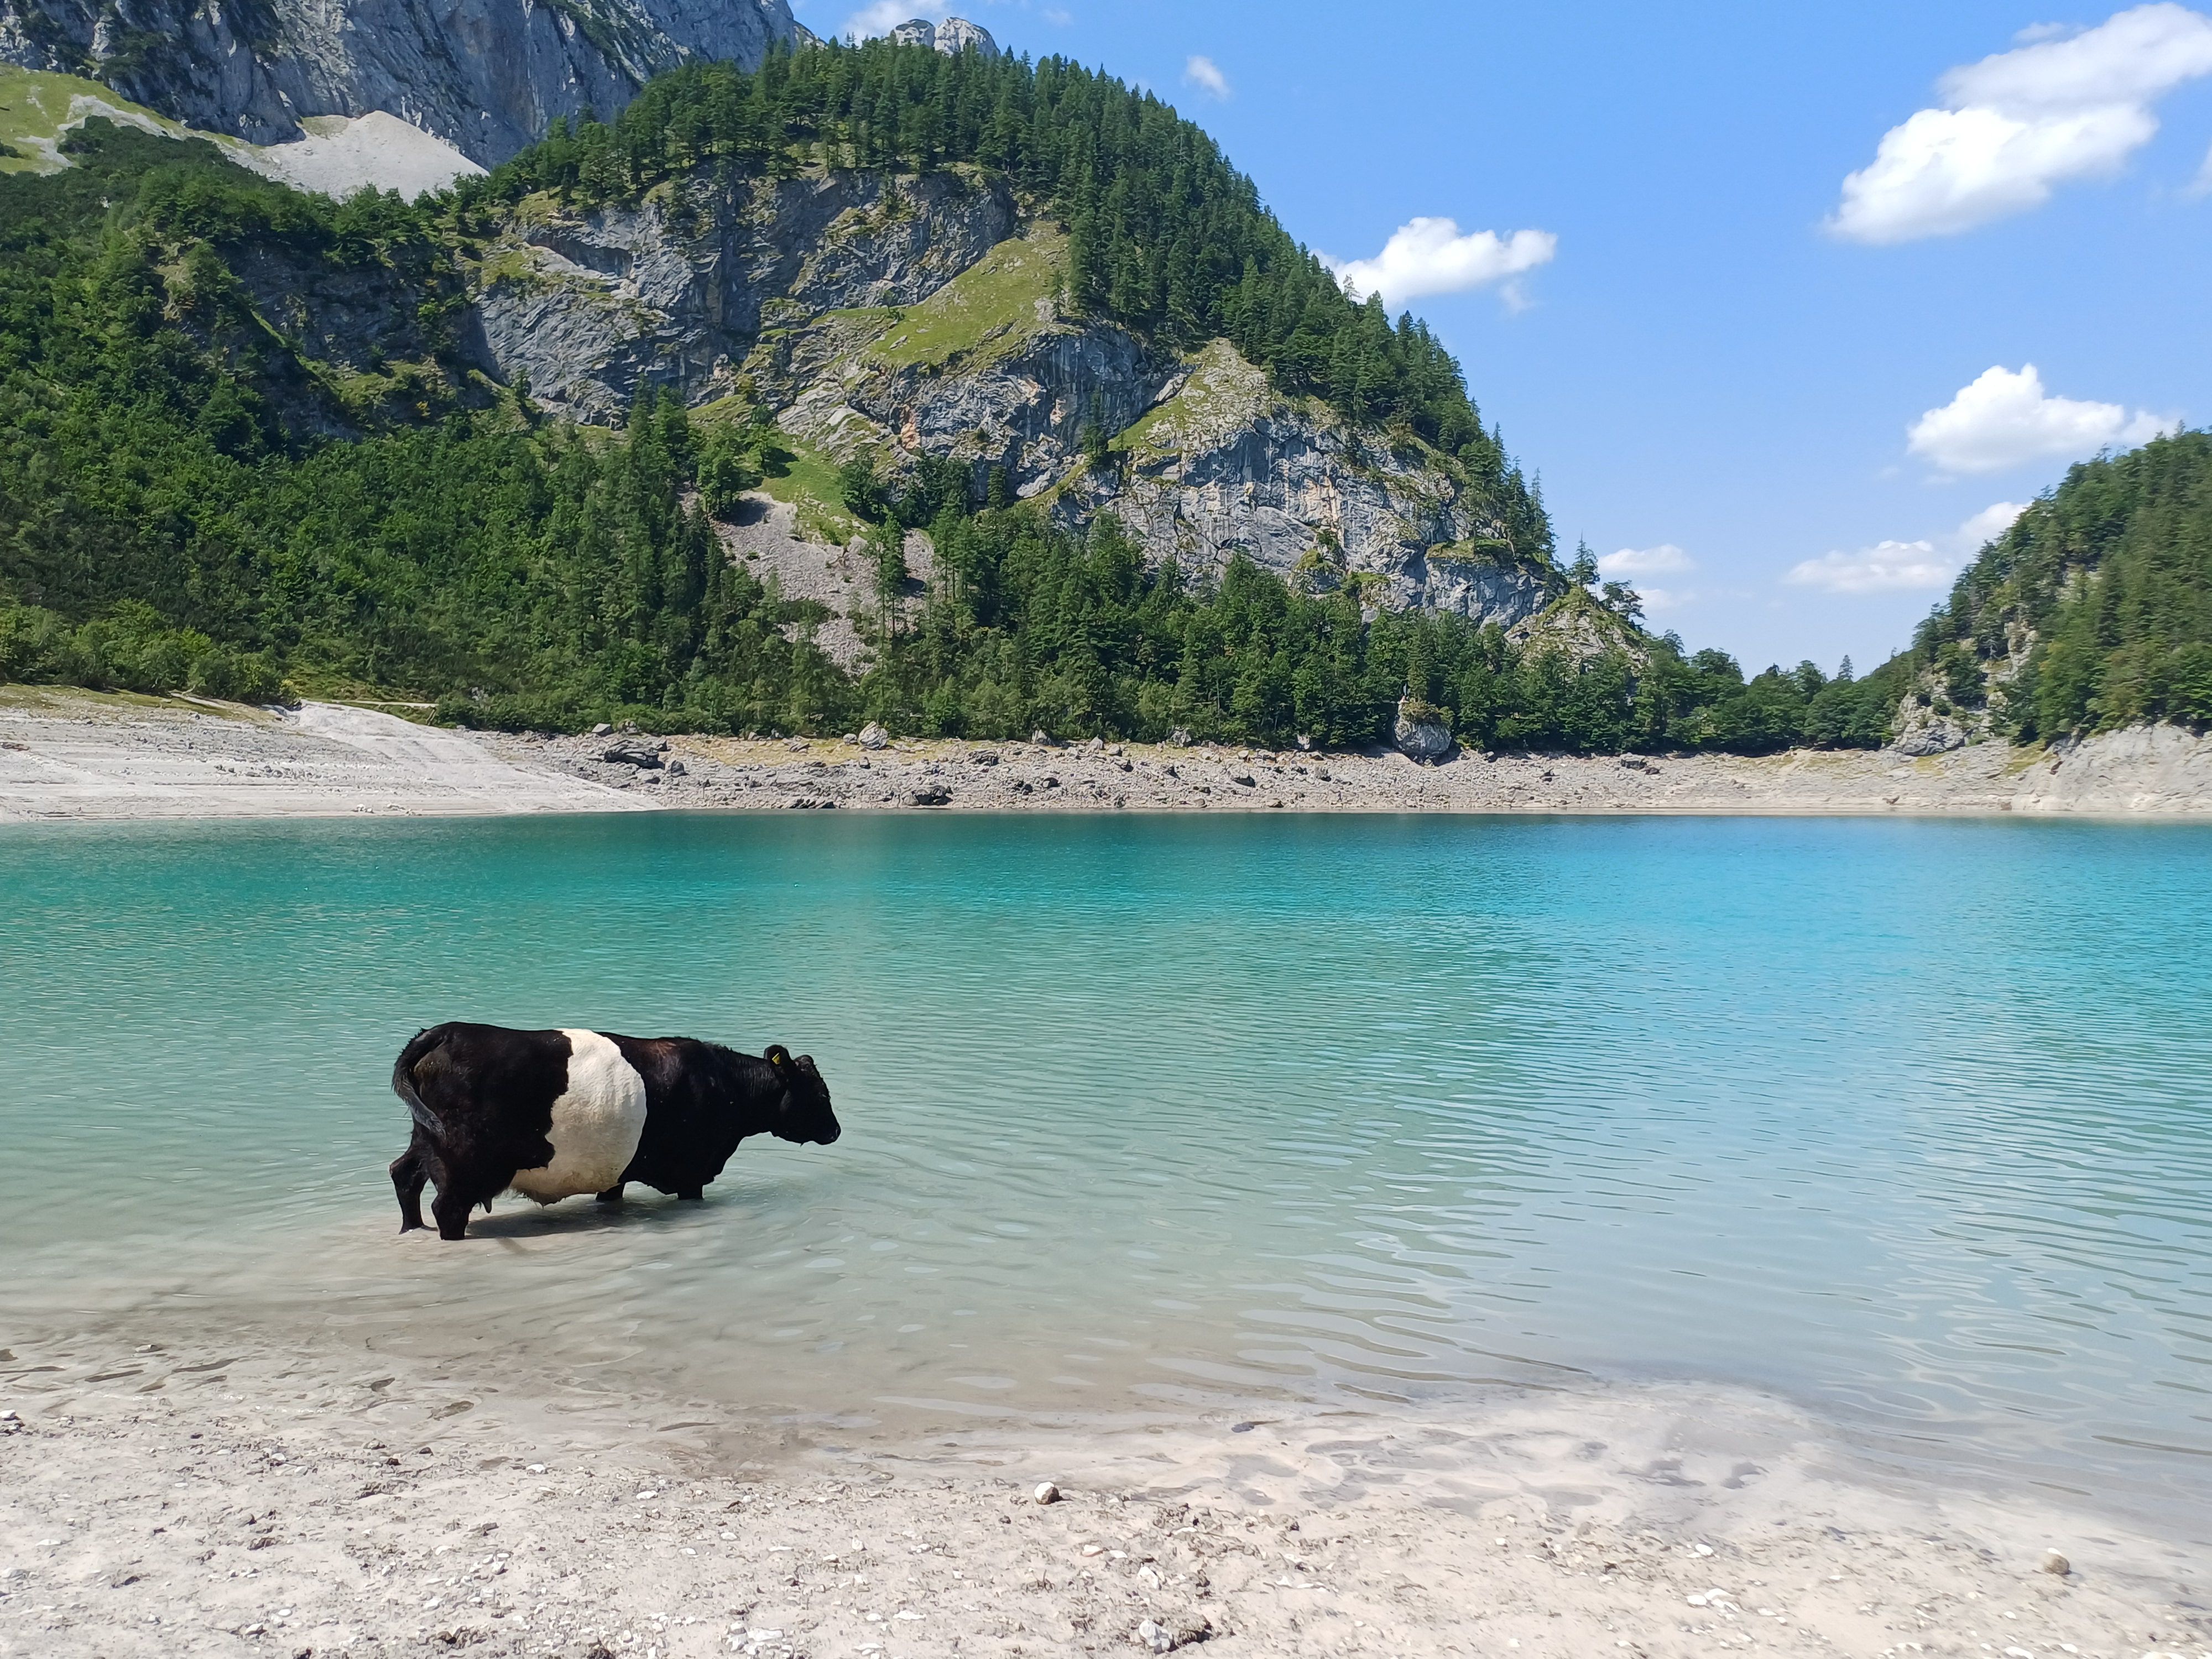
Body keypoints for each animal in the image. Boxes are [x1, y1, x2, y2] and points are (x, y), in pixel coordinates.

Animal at [387, 1023, 840, 1241]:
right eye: (820, 1093)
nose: (836, 1131)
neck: (724, 1084)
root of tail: (444, 1031)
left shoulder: (613, 1172)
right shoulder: (692, 1174)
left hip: (426, 1140)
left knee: (404, 1174)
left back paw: (411, 1230)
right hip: (464, 1163)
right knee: (447, 1208)